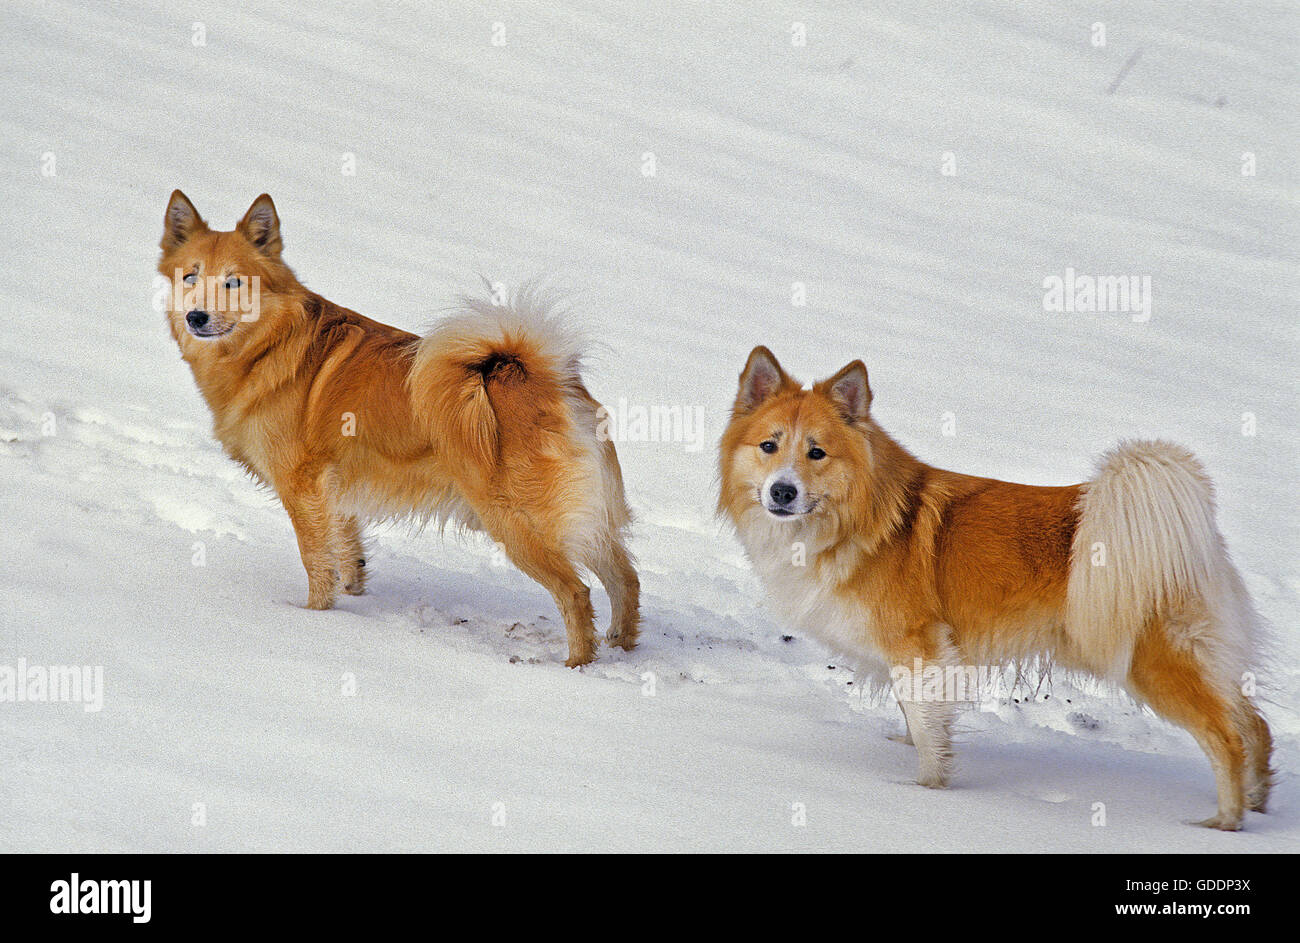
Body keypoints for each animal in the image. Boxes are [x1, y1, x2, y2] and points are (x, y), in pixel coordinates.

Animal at [157, 189, 639, 663]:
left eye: (233, 282)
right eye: (190, 277)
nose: (196, 317)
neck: (270, 345)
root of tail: (539, 377)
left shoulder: (302, 487)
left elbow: (316, 562)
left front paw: (314, 618)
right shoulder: (334, 490)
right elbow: (346, 550)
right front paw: (352, 591)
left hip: (517, 523)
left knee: (577, 592)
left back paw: (577, 664)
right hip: (578, 520)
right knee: (625, 577)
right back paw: (623, 644)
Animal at [722, 343, 1279, 822]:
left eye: (817, 453)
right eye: (769, 446)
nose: (782, 491)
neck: (861, 522)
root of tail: (1187, 531)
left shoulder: (920, 648)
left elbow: (927, 732)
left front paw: (925, 791)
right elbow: (919, 717)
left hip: (1154, 661)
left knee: (1228, 736)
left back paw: (1224, 822)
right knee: (1255, 723)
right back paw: (1258, 804)